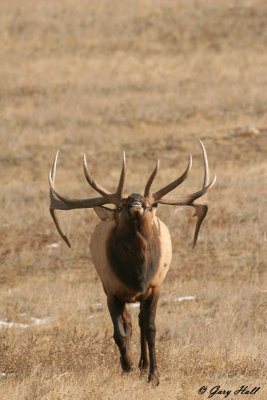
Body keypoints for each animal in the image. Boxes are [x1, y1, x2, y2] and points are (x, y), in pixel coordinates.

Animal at [48, 141, 216, 384]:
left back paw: (144, 365)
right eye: (120, 206)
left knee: (140, 322)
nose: (136, 201)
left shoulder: (155, 287)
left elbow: (151, 329)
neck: (136, 276)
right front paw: (127, 365)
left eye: (151, 204)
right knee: (128, 325)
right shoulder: (112, 290)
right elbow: (119, 332)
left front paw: (154, 375)